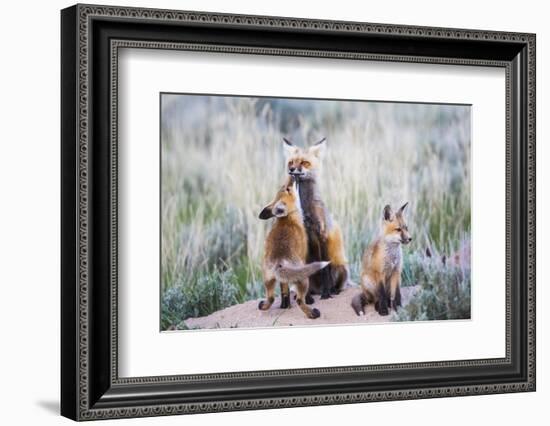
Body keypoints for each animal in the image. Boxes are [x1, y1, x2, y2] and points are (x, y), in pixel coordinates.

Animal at [260, 176, 332, 320]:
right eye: (287, 188)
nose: (292, 175)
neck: (288, 218)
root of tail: (278, 261)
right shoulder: (304, 254)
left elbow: (284, 290)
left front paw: (285, 305)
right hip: (302, 278)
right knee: (300, 300)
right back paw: (312, 312)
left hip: (268, 280)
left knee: (270, 298)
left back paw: (263, 305)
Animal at [282, 136, 352, 300]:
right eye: (291, 162)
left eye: (304, 163)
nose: (292, 170)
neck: (306, 210)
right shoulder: (304, 237)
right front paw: (307, 298)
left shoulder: (322, 234)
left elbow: (325, 269)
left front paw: (327, 294)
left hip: (341, 268)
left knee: (338, 284)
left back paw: (332, 290)